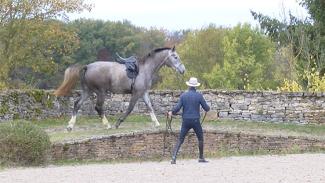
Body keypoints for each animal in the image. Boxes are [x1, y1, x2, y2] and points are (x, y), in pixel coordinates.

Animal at [54, 46, 184, 131]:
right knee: (98, 107)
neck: (145, 69)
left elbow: (150, 107)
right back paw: (107, 125)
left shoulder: (144, 93)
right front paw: (118, 123)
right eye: (175, 57)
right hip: (101, 92)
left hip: (88, 91)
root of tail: (87, 66)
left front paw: (156, 123)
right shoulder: (136, 93)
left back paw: (70, 126)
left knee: (77, 104)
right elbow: (130, 109)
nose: (183, 70)